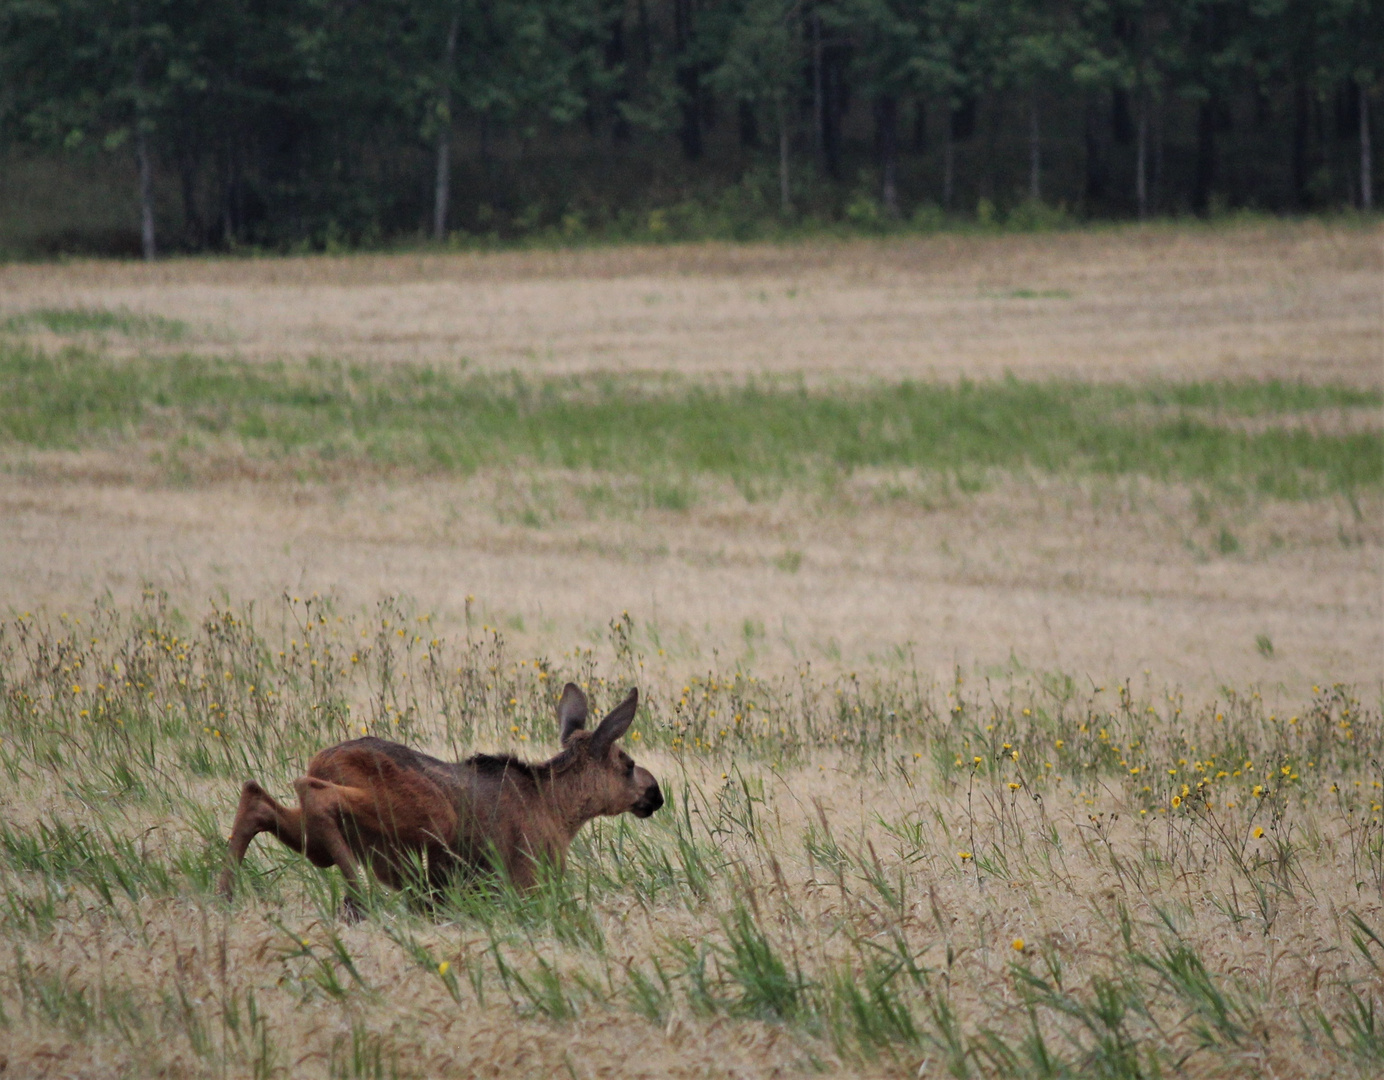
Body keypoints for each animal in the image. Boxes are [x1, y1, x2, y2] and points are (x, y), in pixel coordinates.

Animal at [218, 684, 661, 919]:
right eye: (627, 764)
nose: (655, 793)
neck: (561, 811)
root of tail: (324, 759)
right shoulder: (532, 879)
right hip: (431, 814)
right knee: (313, 793)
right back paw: (358, 897)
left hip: (319, 839)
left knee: (257, 796)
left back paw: (224, 893)